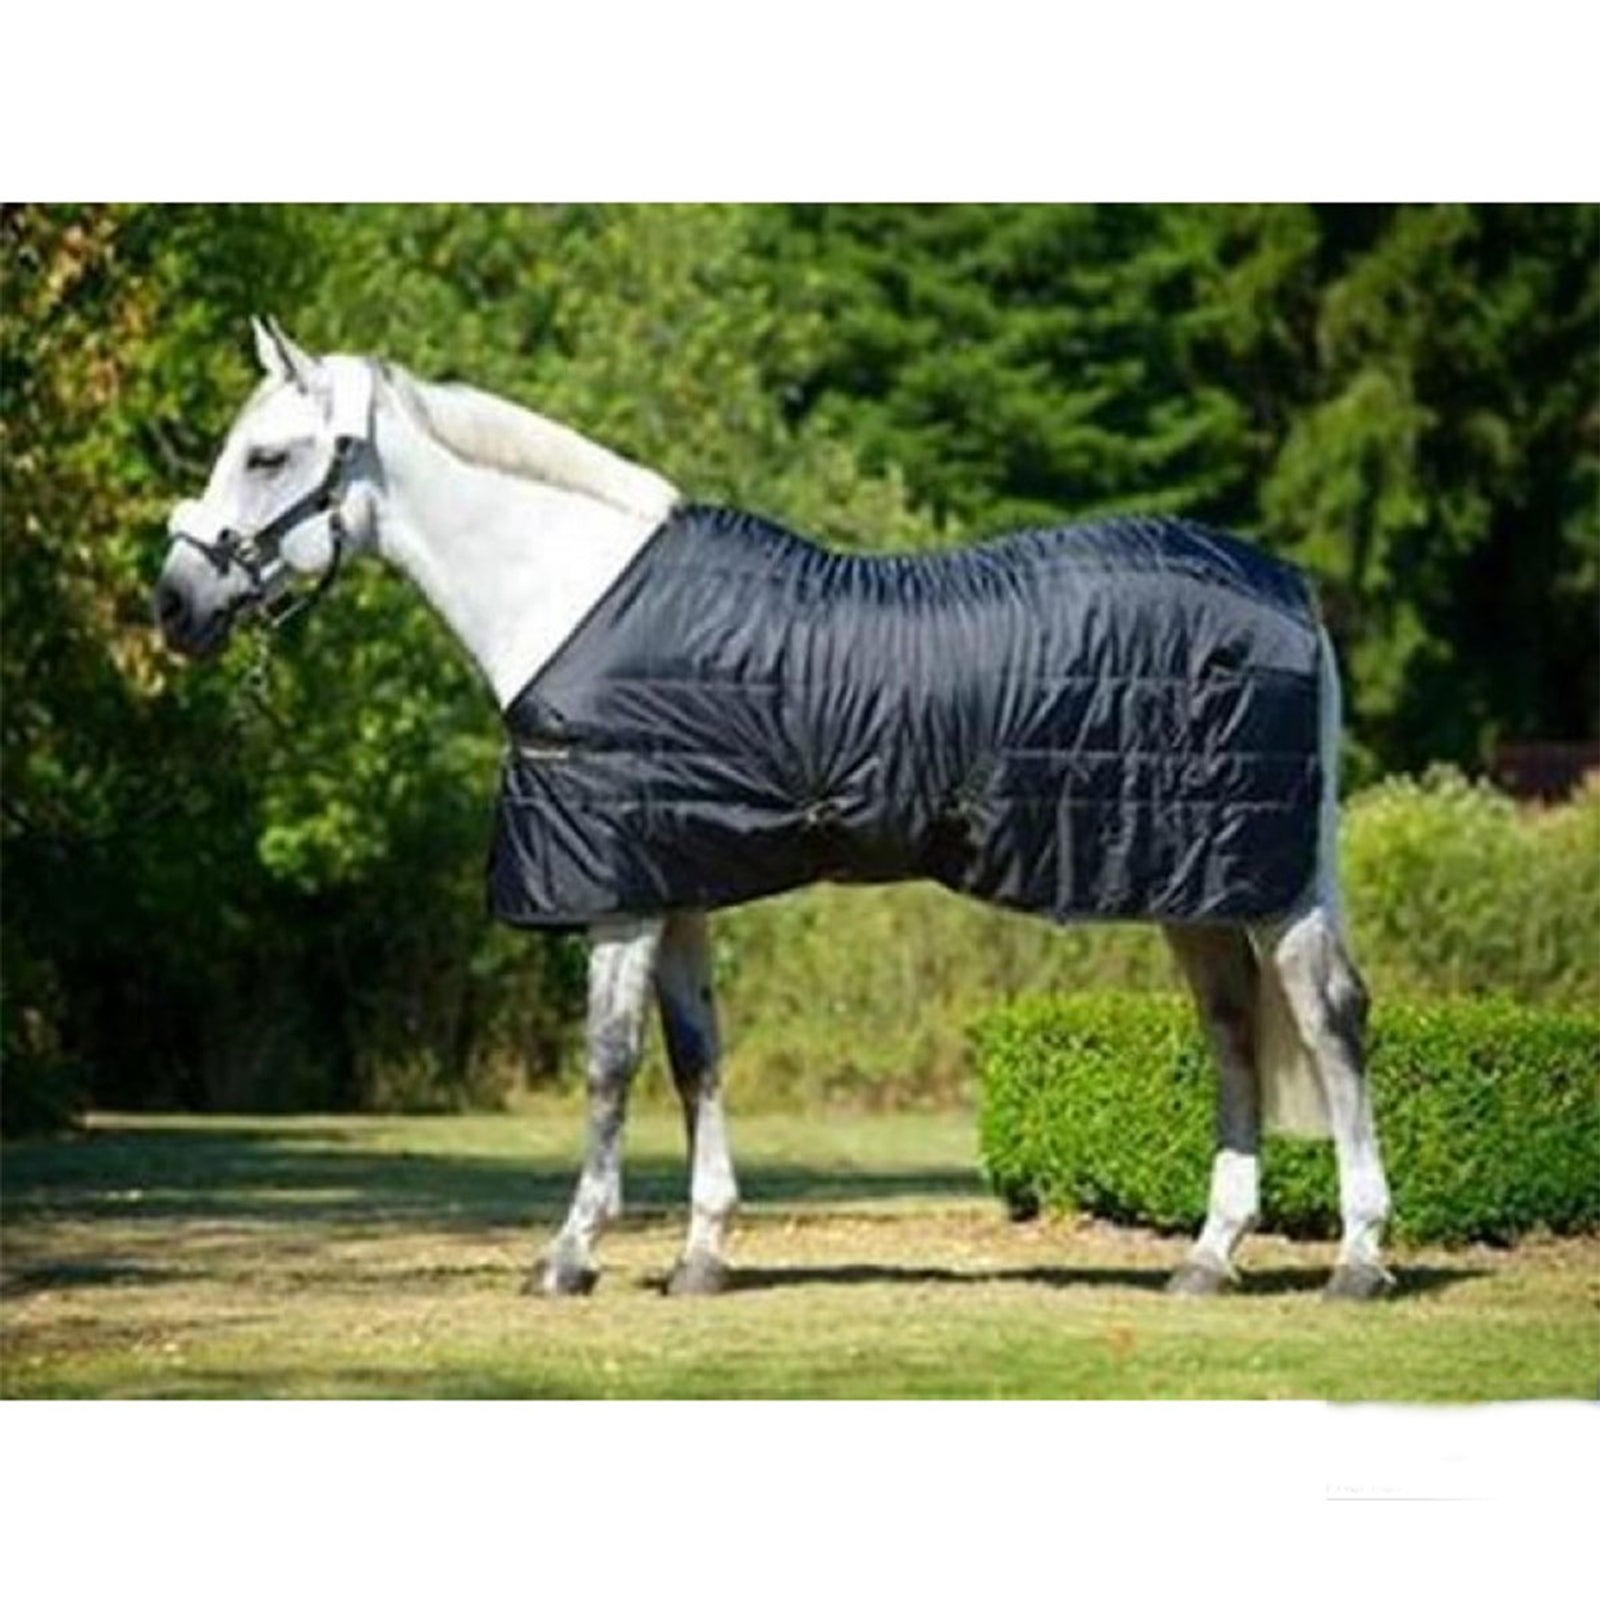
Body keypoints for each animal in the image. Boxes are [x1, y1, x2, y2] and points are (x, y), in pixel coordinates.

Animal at [152, 318, 1394, 1300]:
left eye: (267, 453)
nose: (175, 603)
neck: (574, 594)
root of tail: (1288, 590)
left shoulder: (617, 892)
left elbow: (607, 1063)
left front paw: (570, 1253)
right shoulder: (675, 882)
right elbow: (695, 1056)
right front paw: (701, 1253)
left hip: (1266, 883)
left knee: (1328, 1022)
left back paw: (1358, 1259)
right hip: (1196, 879)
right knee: (1232, 1032)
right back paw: (1208, 1257)